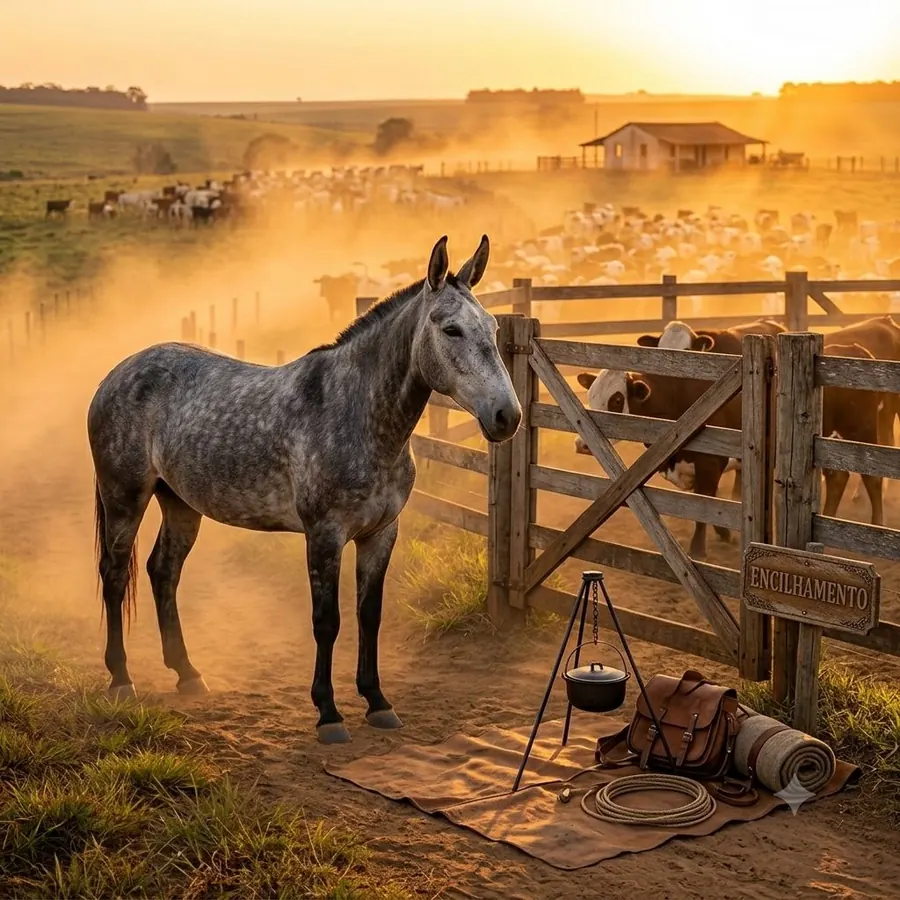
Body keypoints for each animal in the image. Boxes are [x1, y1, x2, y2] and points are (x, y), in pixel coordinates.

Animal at [87, 234, 521, 743]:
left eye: (493, 326)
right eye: (451, 330)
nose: (507, 416)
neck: (357, 414)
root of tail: (117, 373)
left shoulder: (381, 534)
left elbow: (369, 615)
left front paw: (377, 702)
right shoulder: (324, 536)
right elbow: (327, 621)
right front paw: (328, 713)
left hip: (180, 504)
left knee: (163, 572)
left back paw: (188, 674)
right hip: (124, 498)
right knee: (115, 575)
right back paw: (121, 679)